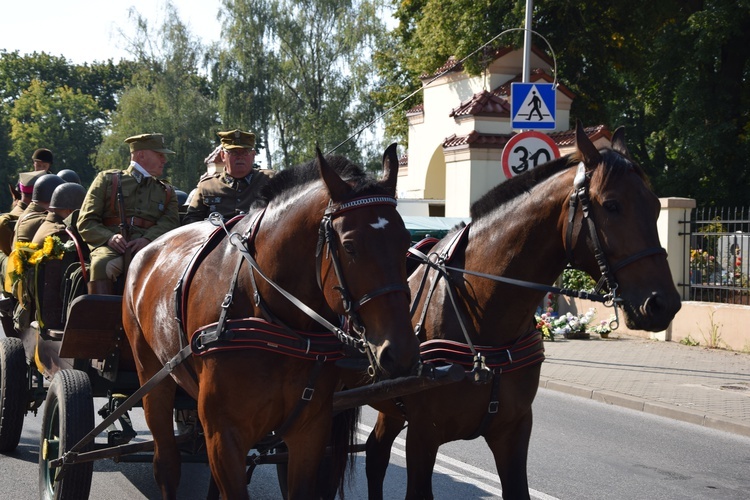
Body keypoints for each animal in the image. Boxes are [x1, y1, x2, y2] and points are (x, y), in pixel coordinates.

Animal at [120, 143, 420, 498]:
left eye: (406, 243)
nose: (400, 352)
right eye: (350, 246)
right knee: (166, 463)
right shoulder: (225, 434)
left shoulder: (309, 431)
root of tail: (146, 251)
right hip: (152, 378)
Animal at [368, 122, 684, 500]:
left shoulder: (513, 432)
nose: (664, 303)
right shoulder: (422, 437)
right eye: (611, 205)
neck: (483, 320)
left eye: (655, 206)